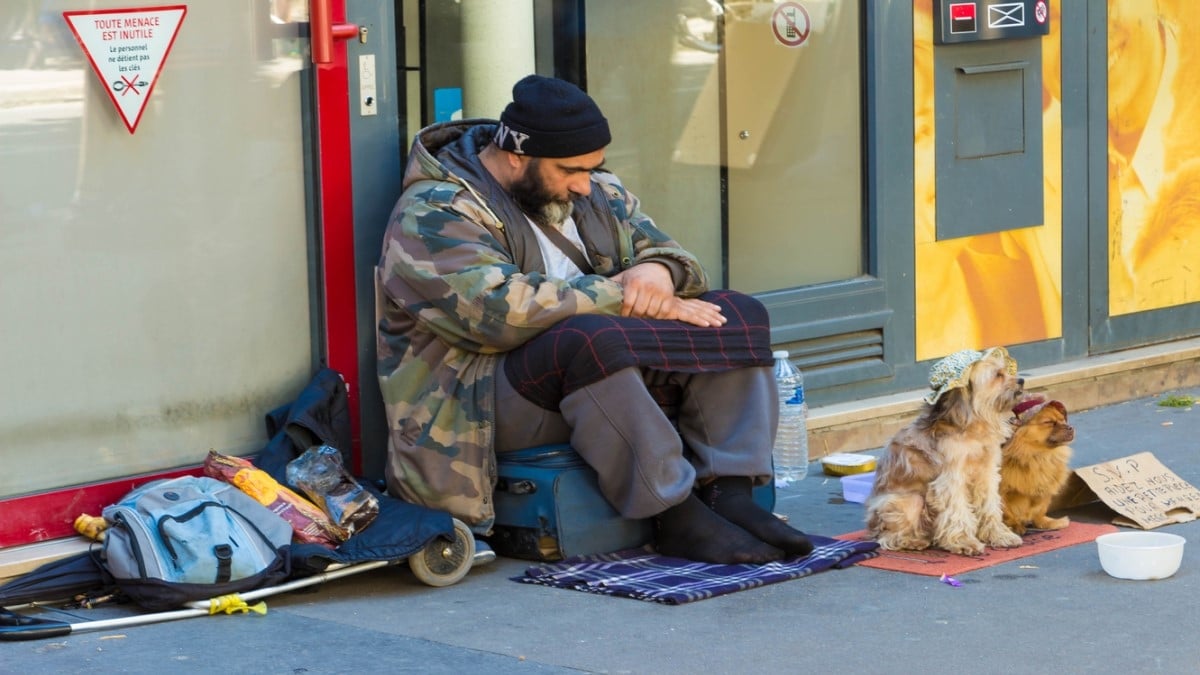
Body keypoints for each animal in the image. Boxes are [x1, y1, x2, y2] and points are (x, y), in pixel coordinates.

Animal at [868, 345, 1027, 552]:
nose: (1022, 380)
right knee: (887, 538)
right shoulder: (951, 480)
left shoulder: (987, 474)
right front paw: (964, 541)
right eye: (998, 375)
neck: (972, 424)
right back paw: (913, 541)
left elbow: (990, 506)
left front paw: (999, 535)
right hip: (908, 501)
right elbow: (957, 512)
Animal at [998, 396, 1075, 533]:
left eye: (1063, 420)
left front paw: (1045, 523)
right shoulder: (1001, 491)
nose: (1070, 427)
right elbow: (1007, 512)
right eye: (1049, 422)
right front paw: (1014, 526)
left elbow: (1039, 511)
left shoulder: (1044, 489)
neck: (1039, 456)